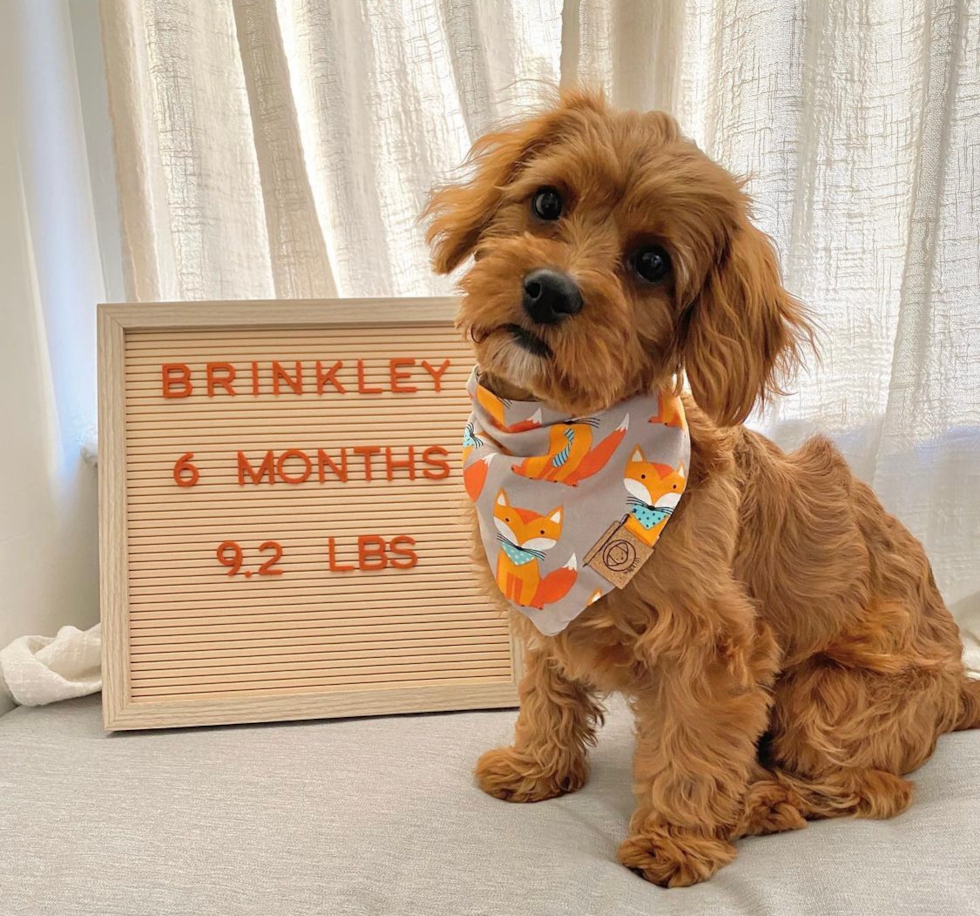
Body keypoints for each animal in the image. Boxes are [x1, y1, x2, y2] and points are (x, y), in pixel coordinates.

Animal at [424, 91, 980, 888]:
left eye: (652, 262)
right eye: (547, 201)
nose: (549, 290)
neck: (559, 445)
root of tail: (960, 685)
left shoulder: (712, 643)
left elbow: (692, 742)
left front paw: (676, 838)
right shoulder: (539, 612)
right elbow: (546, 689)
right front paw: (537, 767)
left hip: (828, 699)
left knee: (865, 786)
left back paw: (761, 802)